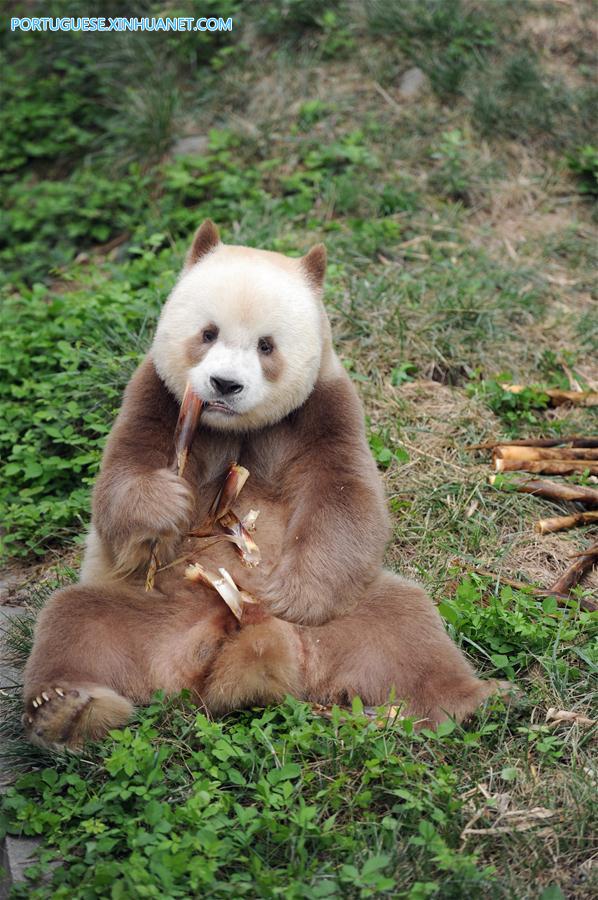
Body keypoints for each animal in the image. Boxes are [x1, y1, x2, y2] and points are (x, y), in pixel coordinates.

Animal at [23, 220, 506, 749]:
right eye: (208, 333)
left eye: (266, 345)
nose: (224, 384)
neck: (236, 427)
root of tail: (250, 649)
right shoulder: (158, 396)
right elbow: (120, 481)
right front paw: (163, 507)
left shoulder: (323, 408)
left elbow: (344, 498)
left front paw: (294, 593)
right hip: (149, 614)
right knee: (74, 621)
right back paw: (66, 708)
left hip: (343, 621)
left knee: (406, 624)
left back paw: (471, 701)